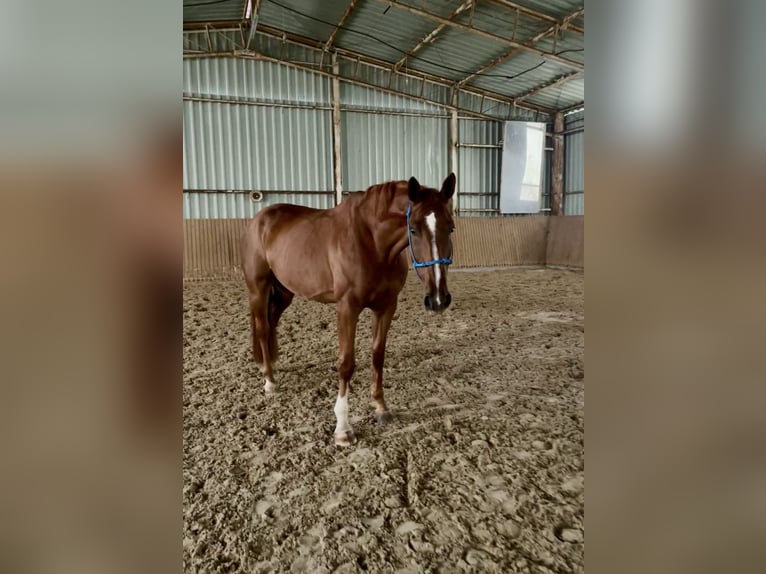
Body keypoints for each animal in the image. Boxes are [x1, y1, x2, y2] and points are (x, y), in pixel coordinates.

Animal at [240, 173, 456, 448]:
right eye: (414, 229)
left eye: (451, 227)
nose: (438, 300)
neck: (371, 242)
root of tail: (260, 219)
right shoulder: (347, 308)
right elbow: (346, 363)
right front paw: (343, 428)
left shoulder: (386, 307)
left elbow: (377, 356)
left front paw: (381, 408)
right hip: (258, 289)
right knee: (262, 327)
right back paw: (269, 381)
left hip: (285, 292)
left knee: (271, 324)